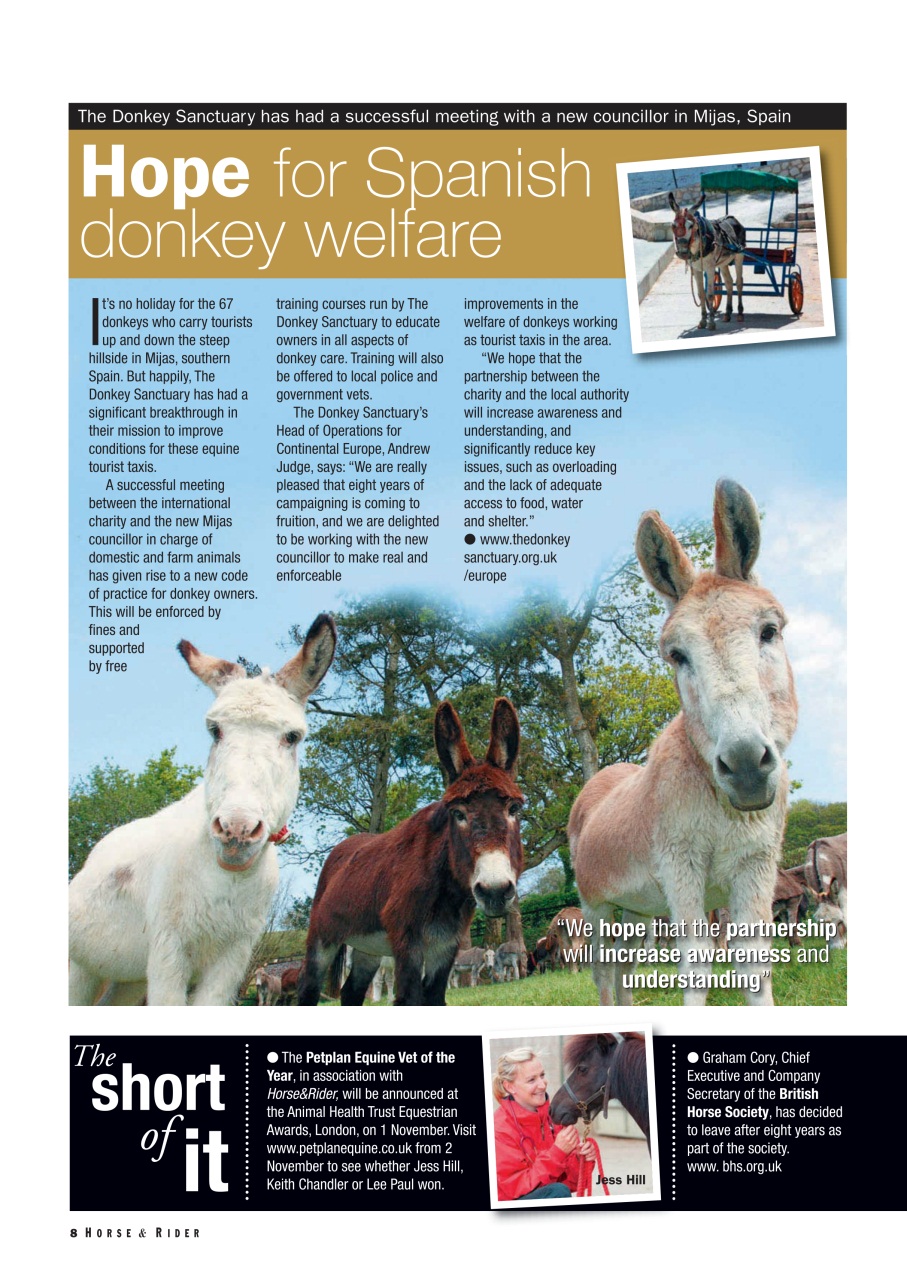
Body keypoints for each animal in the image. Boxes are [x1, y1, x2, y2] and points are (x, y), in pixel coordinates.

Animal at [68, 614, 337, 1005]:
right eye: (214, 730)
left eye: (292, 737)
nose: (237, 830)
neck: (225, 879)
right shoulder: (168, 950)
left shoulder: (233, 955)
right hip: (81, 967)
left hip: (127, 976)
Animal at [299, 698, 524, 1006]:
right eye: (458, 814)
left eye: (514, 809)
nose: (495, 891)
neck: (446, 892)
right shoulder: (408, 944)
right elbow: (408, 999)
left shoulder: (445, 948)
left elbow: (435, 998)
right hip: (322, 937)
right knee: (308, 988)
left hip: (369, 948)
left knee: (351, 991)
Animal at [569, 480, 798, 1007]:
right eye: (677, 656)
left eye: (769, 631)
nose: (746, 766)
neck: (723, 808)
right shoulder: (681, 865)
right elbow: (696, 962)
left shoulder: (757, 866)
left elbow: (755, 965)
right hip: (596, 907)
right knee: (602, 973)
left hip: (635, 911)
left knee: (625, 969)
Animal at [668, 191, 746, 330]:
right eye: (673, 225)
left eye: (691, 225)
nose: (682, 252)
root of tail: (733, 218)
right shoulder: (696, 269)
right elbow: (701, 294)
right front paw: (703, 321)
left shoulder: (710, 268)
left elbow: (710, 294)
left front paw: (711, 323)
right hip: (723, 263)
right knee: (729, 282)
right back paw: (727, 313)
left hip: (739, 256)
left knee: (739, 282)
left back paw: (740, 313)